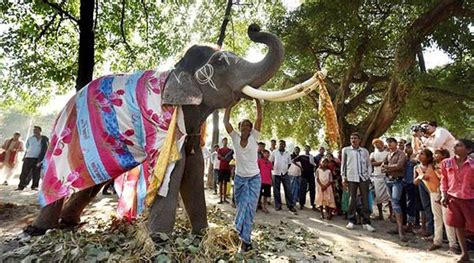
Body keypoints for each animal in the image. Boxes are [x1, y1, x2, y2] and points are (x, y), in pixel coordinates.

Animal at [25, 23, 284, 238]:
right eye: (220, 61)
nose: (254, 28)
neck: (176, 69)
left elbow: (193, 169)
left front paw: (202, 235)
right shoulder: (163, 129)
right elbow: (175, 170)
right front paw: (159, 239)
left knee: (93, 182)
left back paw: (69, 223)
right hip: (67, 138)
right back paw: (39, 230)